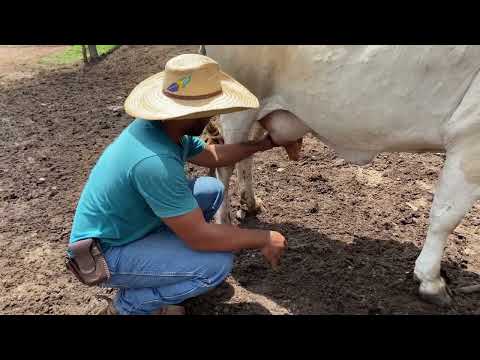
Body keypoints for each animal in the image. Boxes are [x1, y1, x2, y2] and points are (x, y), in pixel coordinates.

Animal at [202, 45, 480, 306]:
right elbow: (445, 218)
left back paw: (251, 203)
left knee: (245, 155)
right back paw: (224, 225)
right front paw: (431, 281)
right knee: (224, 164)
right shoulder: (468, 142)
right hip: (240, 108)